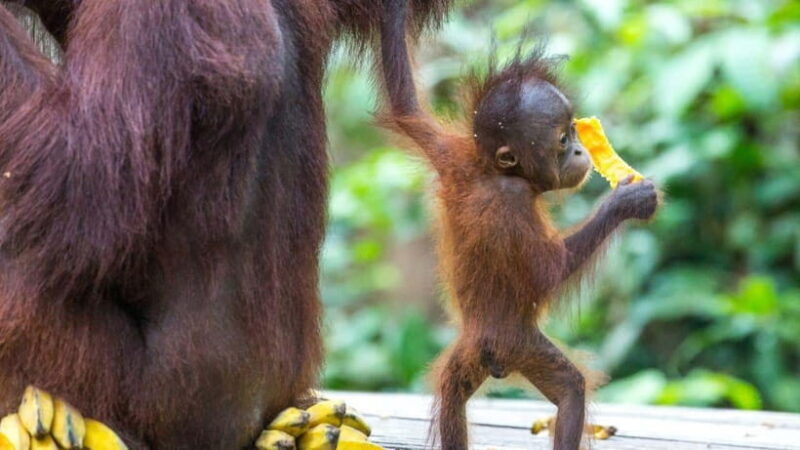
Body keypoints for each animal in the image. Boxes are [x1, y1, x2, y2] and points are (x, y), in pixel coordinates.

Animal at [377, 1, 659, 448]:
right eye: (562, 139)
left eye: (573, 131)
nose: (579, 150)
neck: (495, 172)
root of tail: (494, 358)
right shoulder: (516, 202)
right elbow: (547, 272)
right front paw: (627, 202)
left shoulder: (451, 154)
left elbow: (405, 108)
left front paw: (393, 14)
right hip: (522, 344)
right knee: (571, 389)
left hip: (477, 354)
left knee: (452, 399)